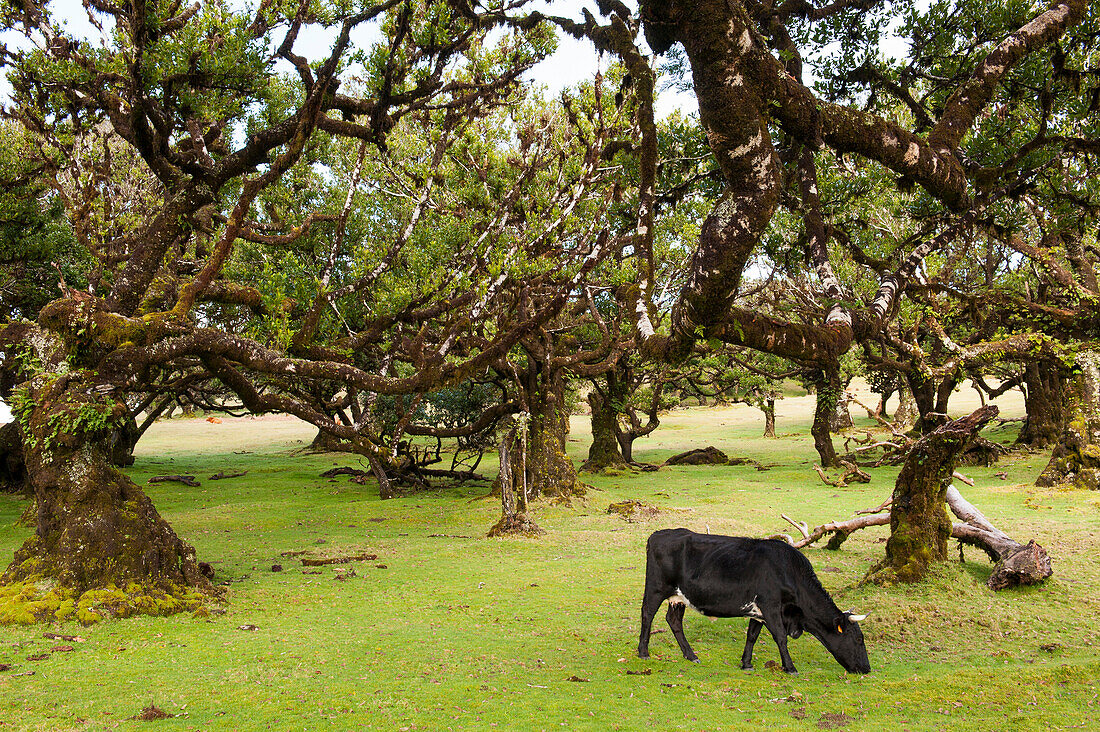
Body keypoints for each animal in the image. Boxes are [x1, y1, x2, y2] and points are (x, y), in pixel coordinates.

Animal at [638, 526, 866, 673]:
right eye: (858, 639)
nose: (867, 668)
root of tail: (658, 534)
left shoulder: (759, 611)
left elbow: (752, 636)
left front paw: (746, 663)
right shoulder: (771, 606)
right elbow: (780, 637)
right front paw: (790, 667)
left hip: (678, 597)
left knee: (674, 621)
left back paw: (691, 655)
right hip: (656, 588)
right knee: (647, 614)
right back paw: (643, 652)